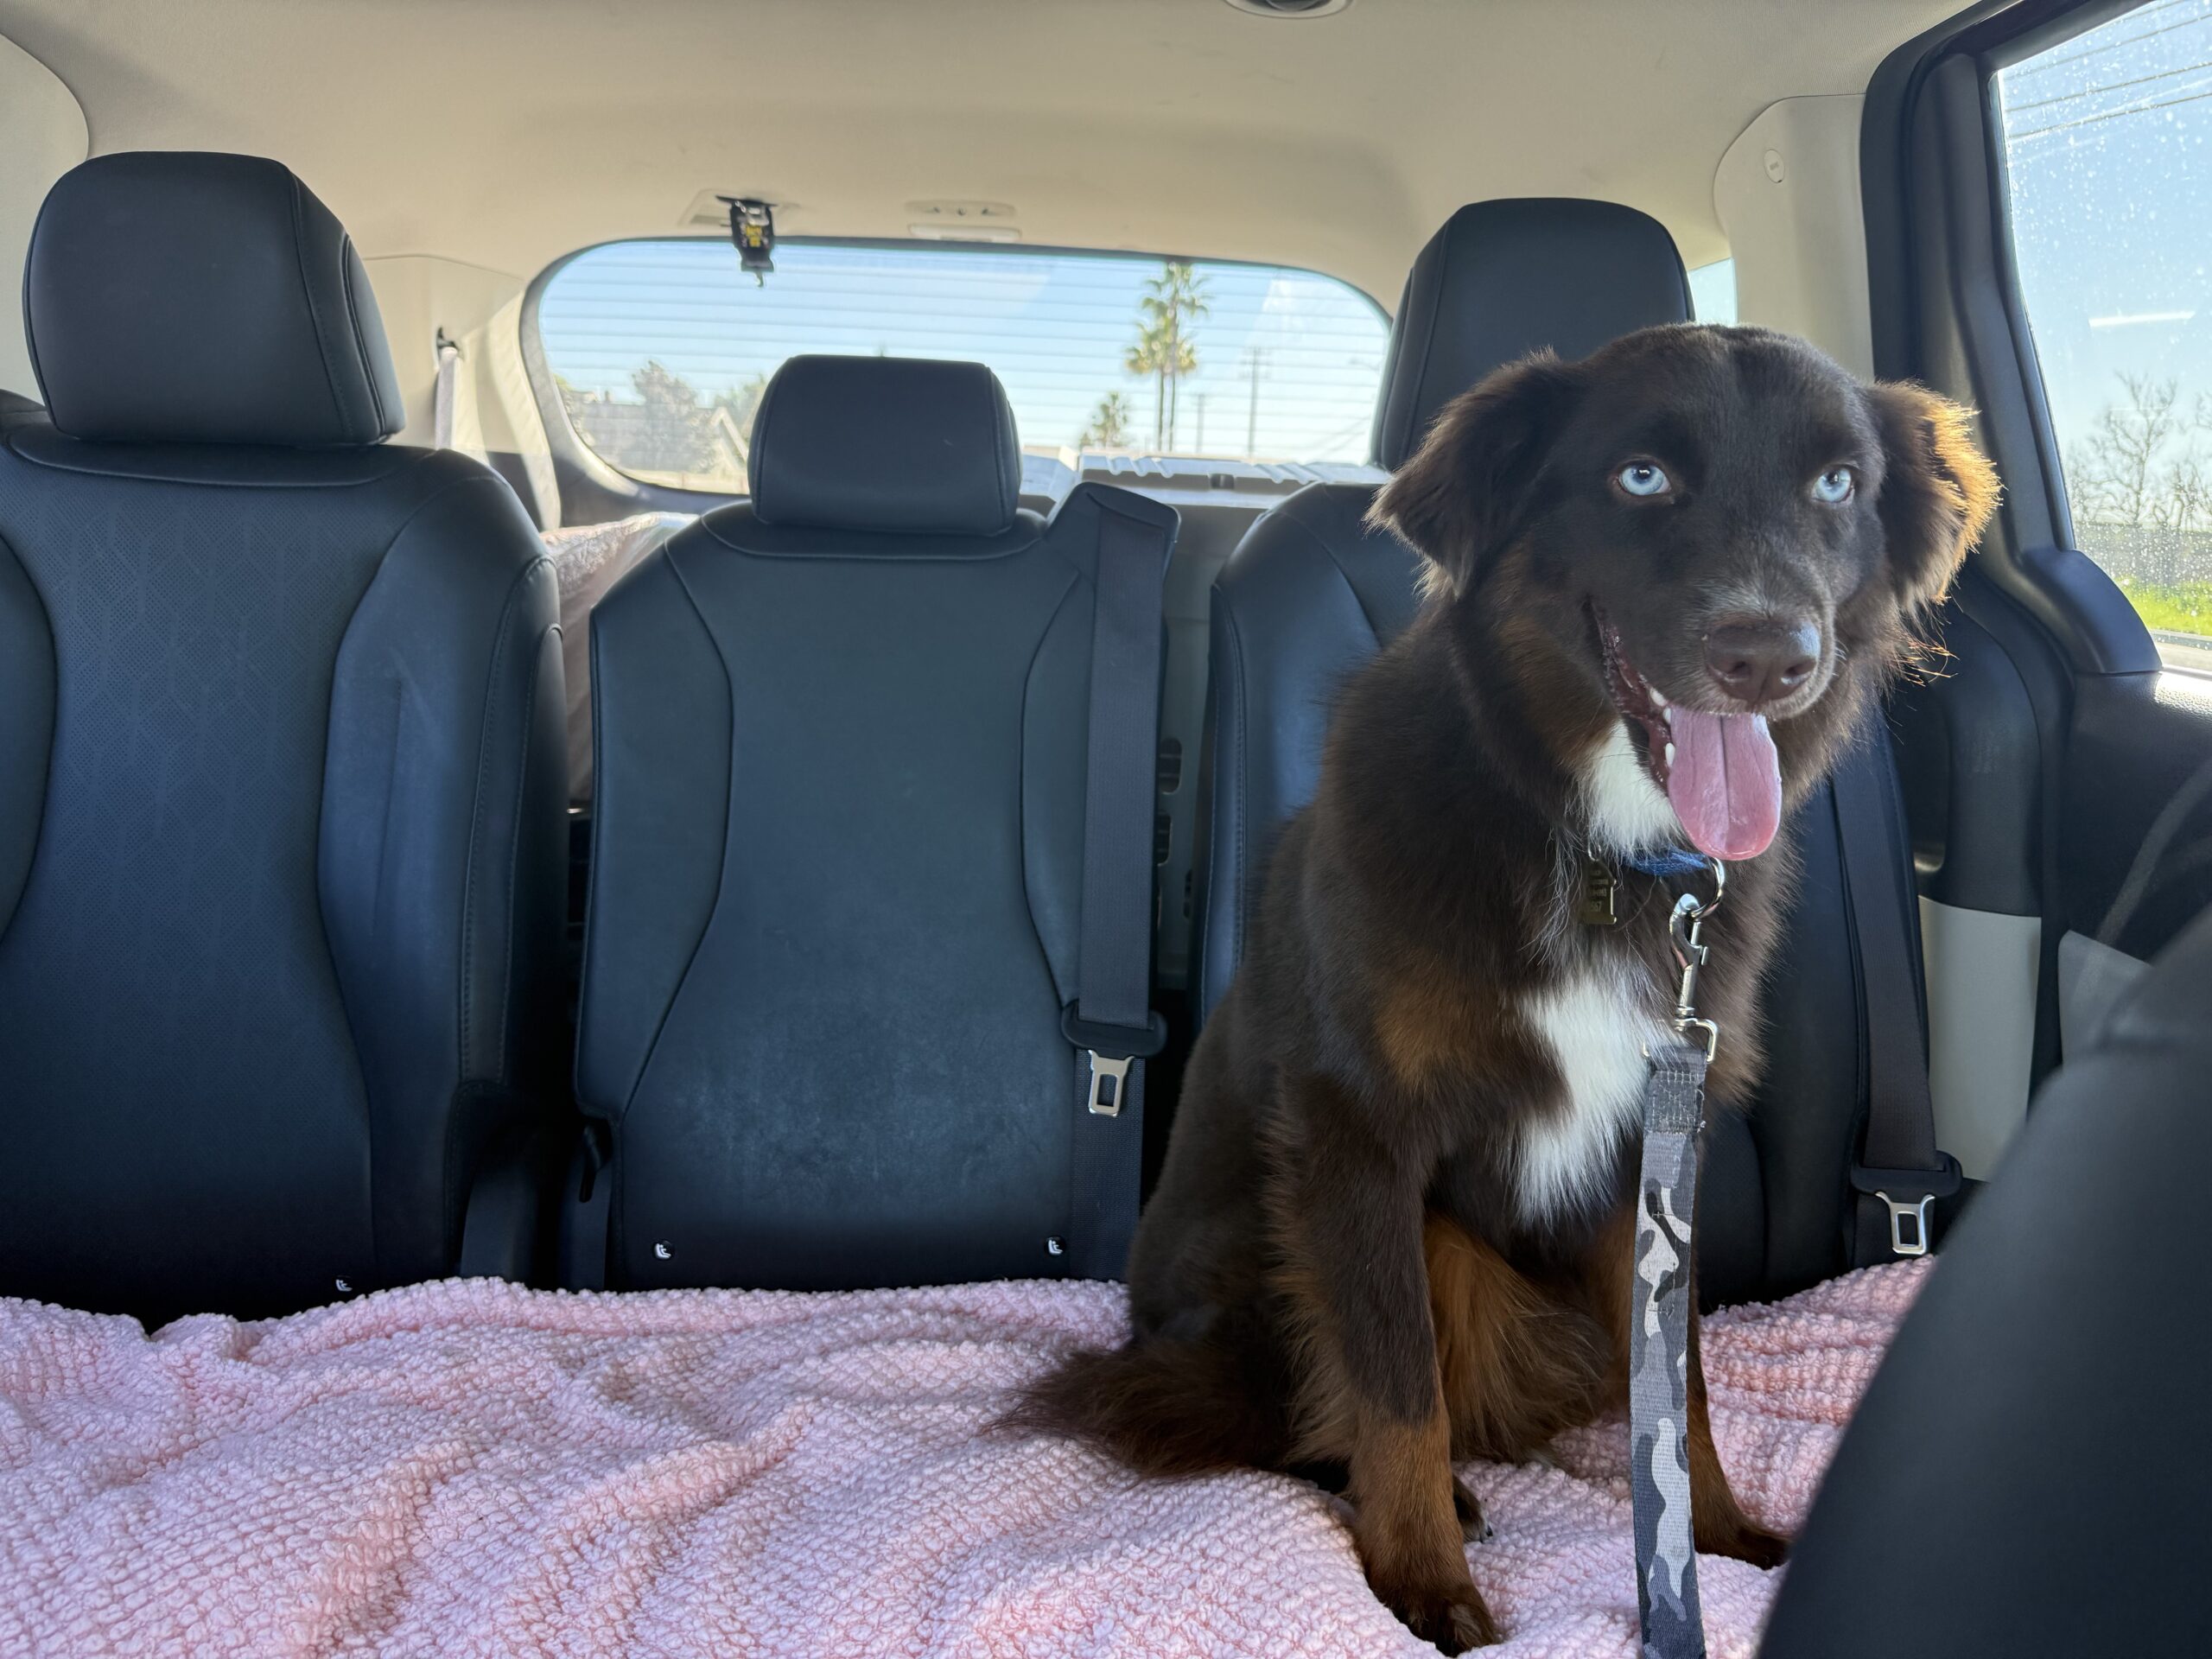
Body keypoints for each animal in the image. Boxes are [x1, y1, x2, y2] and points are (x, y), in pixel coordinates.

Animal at [1011, 324, 1999, 1652]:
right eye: (1641, 478)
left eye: (1838, 485)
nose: (1770, 658)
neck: (1598, 851)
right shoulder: (1357, 1137)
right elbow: (1394, 1385)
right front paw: (1425, 1585)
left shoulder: (1654, 1153)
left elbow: (1676, 1385)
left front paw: (1714, 1541)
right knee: (1275, 1407)